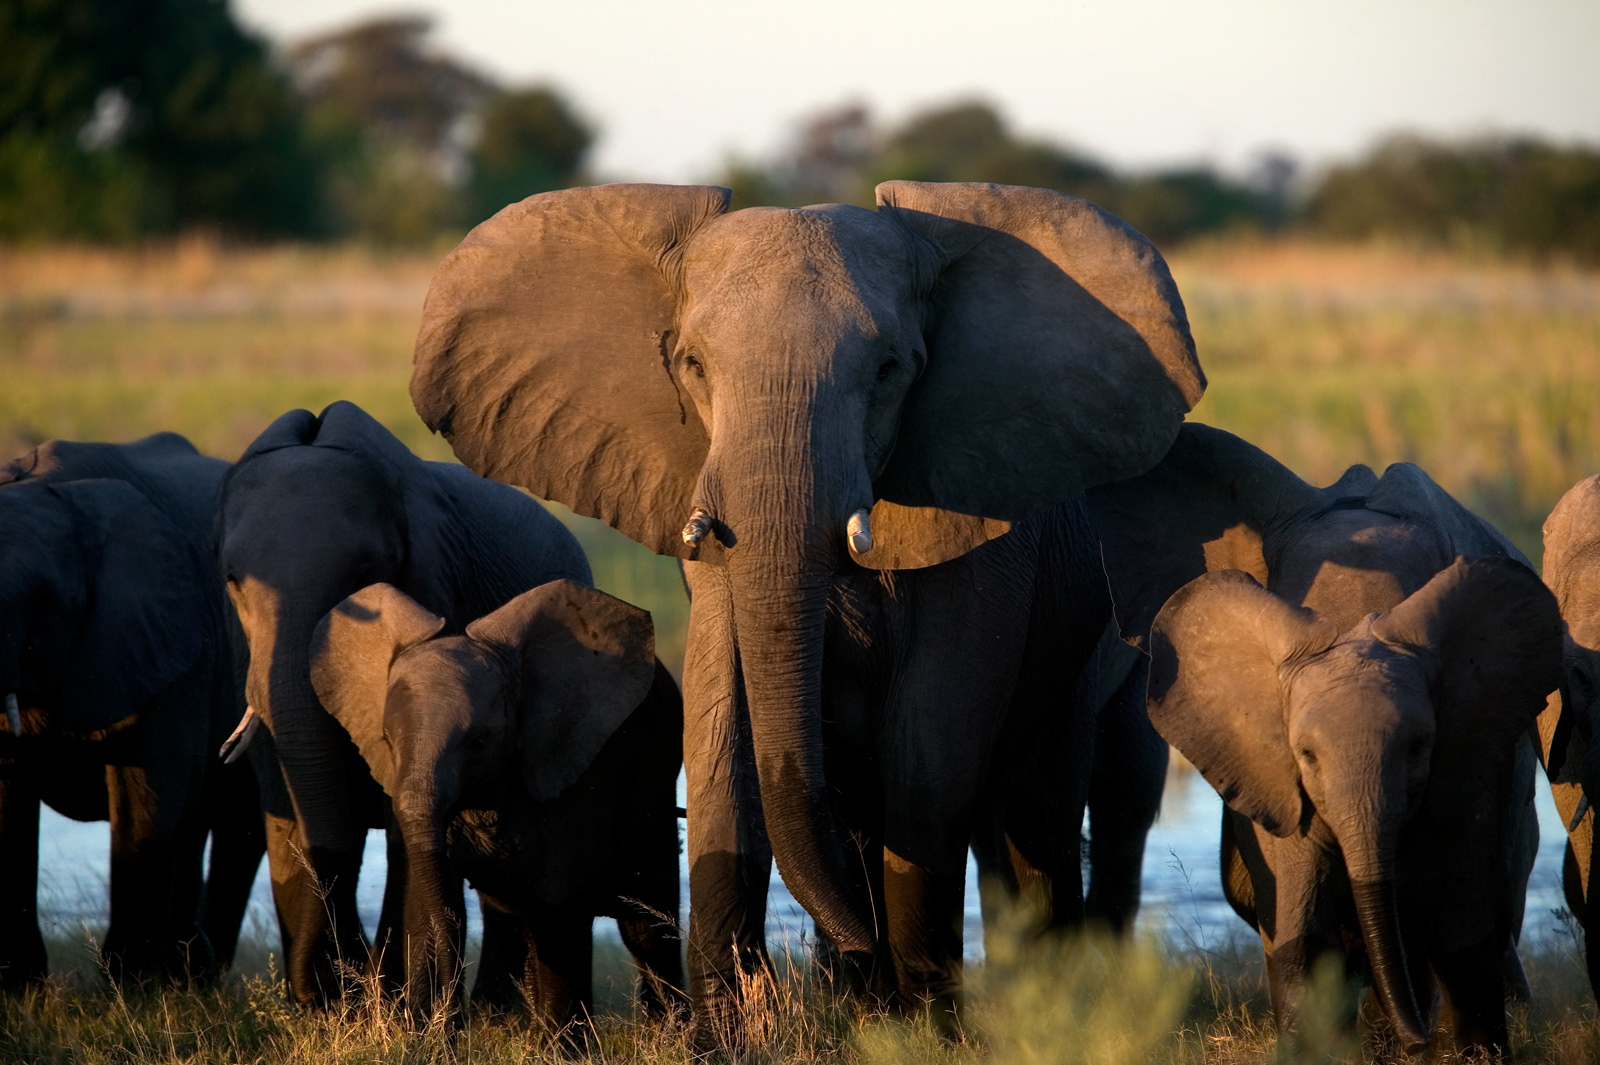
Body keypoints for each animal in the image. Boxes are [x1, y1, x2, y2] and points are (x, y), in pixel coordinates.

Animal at [0, 433, 264, 987]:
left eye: (40, 604)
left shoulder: (171, 640)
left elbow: (151, 787)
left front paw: (130, 988)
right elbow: (6, 795)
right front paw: (18, 986)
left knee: (237, 820)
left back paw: (194, 976)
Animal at [215, 400, 597, 1007]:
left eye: (367, 577)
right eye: (232, 582)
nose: (326, 982)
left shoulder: (438, 587)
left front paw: (388, 1006)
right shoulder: (243, 652)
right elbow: (282, 792)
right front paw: (329, 1008)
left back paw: (495, 1012)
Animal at [306, 580, 684, 1027]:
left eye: (479, 741)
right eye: (386, 740)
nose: (454, 1020)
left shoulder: (575, 771)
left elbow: (558, 909)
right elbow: (429, 901)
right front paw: (426, 1034)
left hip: (654, 792)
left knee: (648, 929)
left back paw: (672, 1032)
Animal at [409, 180, 1204, 1039]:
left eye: (891, 368)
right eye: (692, 365)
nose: (851, 941)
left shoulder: (982, 520)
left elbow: (929, 744)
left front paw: (926, 1029)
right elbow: (722, 725)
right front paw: (729, 1036)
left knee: (1041, 803)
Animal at [1091, 422, 1561, 1056]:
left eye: (1419, 747)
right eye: (1306, 755)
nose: (1415, 1042)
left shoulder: (1471, 747)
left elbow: (1461, 921)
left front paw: (1469, 1055)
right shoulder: (1275, 772)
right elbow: (1302, 929)